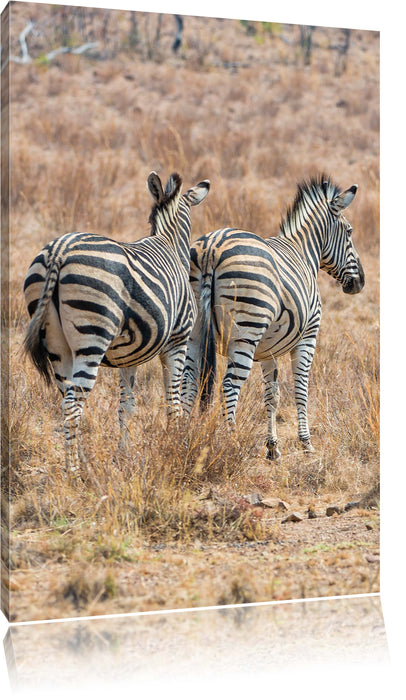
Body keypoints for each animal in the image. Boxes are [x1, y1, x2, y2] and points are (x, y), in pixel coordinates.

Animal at [23, 172, 209, 474]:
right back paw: (74, 472)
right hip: (92, 337)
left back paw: (79, 462)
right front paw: (176, 446)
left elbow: (126, 405)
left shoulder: (129, 356)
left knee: (66, 402)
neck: (169, 242)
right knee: (73, 406)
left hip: (56, 345)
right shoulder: (178, 341)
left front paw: (124, 453)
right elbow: (173, 399)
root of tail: (59, 250)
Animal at [181, 175, 364, 460]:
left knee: (190, 381)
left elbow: (272, 394)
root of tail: (213, 247)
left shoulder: (268, 348)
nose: (360, 283)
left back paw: (183, 439)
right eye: (349, 232)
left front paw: (272, 447)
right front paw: (306, 443)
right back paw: (231, 444)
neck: (303, 252)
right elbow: (301, 388)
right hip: (246, 332)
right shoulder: (308, 337)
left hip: (197, 331)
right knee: (229, 385)